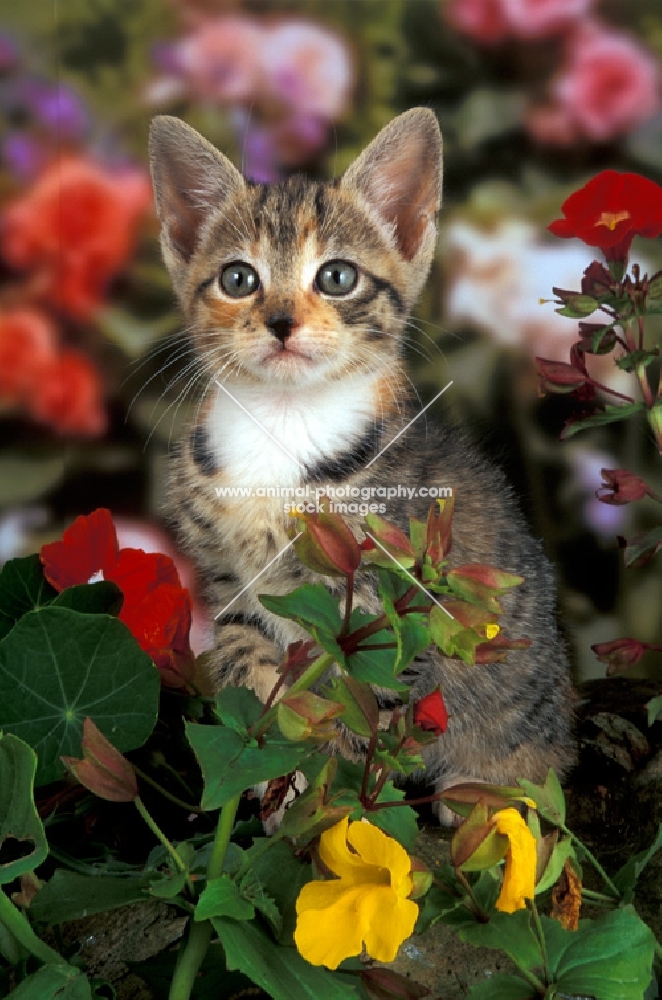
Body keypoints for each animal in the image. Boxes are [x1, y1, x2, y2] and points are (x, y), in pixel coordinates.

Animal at [149, 109, 576, 816]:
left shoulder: (391, 609)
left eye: (337, 277)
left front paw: (322, 815)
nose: (281, 321)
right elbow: (247, 662)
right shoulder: (226, 580)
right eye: (239, 279)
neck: (283, 425)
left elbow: (356, 715)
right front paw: (270, 766)